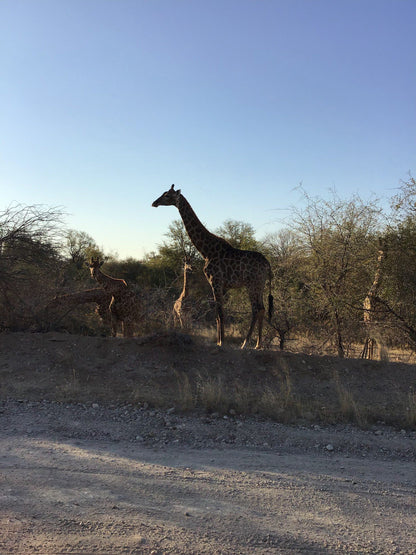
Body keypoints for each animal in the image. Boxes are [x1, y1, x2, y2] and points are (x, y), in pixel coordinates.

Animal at [153, 184, 272, 348]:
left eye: (167, 195)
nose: (154, 203)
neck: (206, 251)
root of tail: (267, 264)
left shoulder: (215, 281)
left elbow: (220, 313)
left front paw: (222, 342)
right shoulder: (218, 284)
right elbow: (217, 314)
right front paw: (219, 341)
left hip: (252, 284)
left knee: (256, 309)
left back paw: (245, 343)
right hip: (260, 285)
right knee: (262, 309)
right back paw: (258, 345)